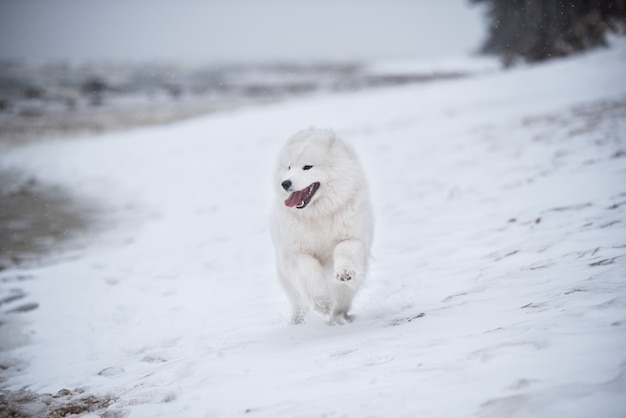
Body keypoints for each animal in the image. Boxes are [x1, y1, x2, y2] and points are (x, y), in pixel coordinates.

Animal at [268, 129, 370, 324]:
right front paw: (322, 303)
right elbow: (309, 272)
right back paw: (298, 320)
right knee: (298, 302)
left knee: (342, 299)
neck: (318, 215)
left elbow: (343, 250)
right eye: (289, 167)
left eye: (307, 167)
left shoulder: (352, 238)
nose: (285, 183)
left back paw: (338, 317)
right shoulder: (296, 253)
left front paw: (344, 273)